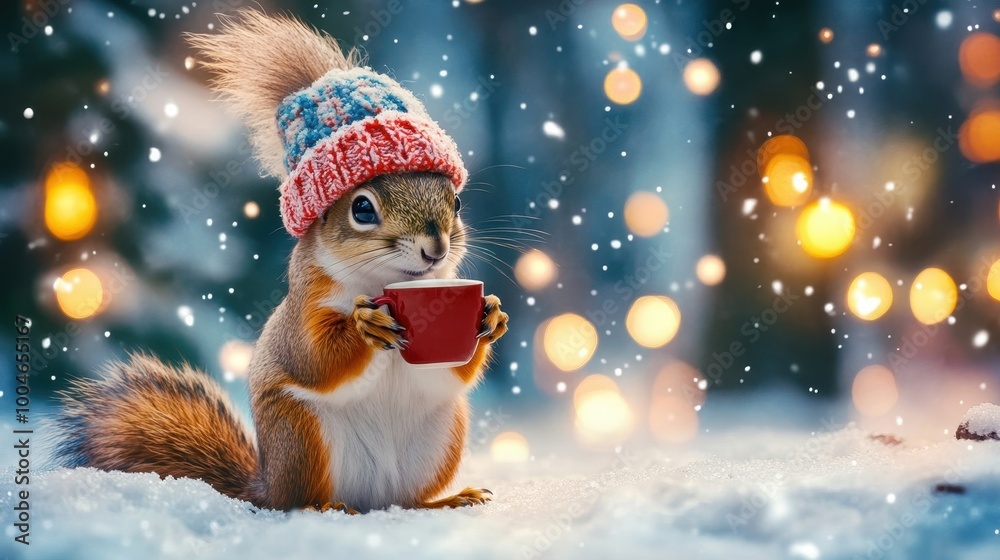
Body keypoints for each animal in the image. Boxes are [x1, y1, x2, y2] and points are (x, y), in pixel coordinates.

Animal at [52, 11, 508, 514]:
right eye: (362, 208)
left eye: (457, 202)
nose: (436, 249)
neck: (383, 282)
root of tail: (267, 484)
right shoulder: (305, 303)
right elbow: (313, 358)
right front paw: (365, 325)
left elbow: (456, 367)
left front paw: (491, 314)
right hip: (301, 433)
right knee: (298, 500)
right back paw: (325, 507)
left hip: (441, 435)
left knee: (408, 501)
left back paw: (447, 500)